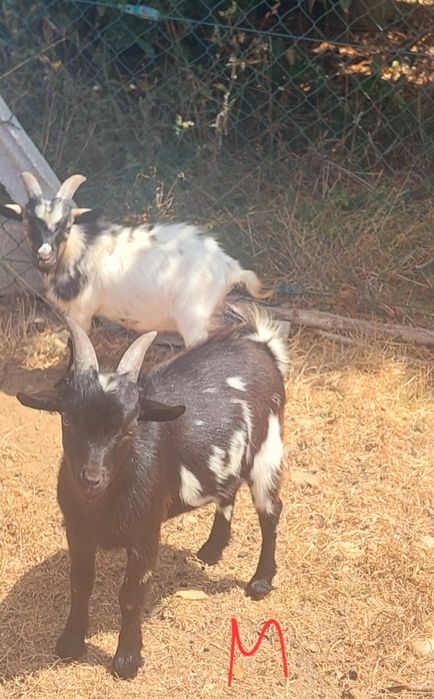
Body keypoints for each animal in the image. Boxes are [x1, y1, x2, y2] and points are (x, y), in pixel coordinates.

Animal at [0, 172, 269, 346]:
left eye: (66, 225)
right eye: (27, 222)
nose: (44, 255)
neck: (79, 251)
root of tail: (228, 266)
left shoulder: (81, 312)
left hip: (194, 316)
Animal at [16, 305, 288, 679]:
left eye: (130, 427)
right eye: (67, 420)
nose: (91, 478)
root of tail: (262, 345)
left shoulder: (145, 534)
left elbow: (131, 593)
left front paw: (127, 659)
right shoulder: (77, 533)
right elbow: (80, 584)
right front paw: (70, 643)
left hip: (267, 448)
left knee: (270, 512)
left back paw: (260, 581)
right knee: (228, 491)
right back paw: (212, 549)